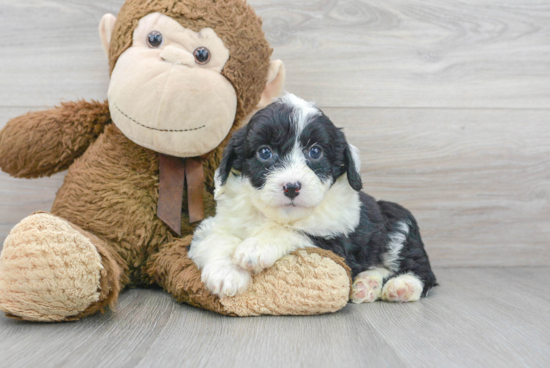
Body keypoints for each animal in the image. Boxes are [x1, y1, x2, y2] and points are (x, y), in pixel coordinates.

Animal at [190, 94, 440, 302]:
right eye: (265, 152)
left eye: (315, 152)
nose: (291, 187)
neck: (279, 215)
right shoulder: (213, 226)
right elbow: (219, 239)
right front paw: (226, 273)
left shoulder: (336, 241)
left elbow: (294, 231)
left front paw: (255, 248)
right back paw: (366, 285)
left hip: (399, 219)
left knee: (422, 270)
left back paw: (403, 286)